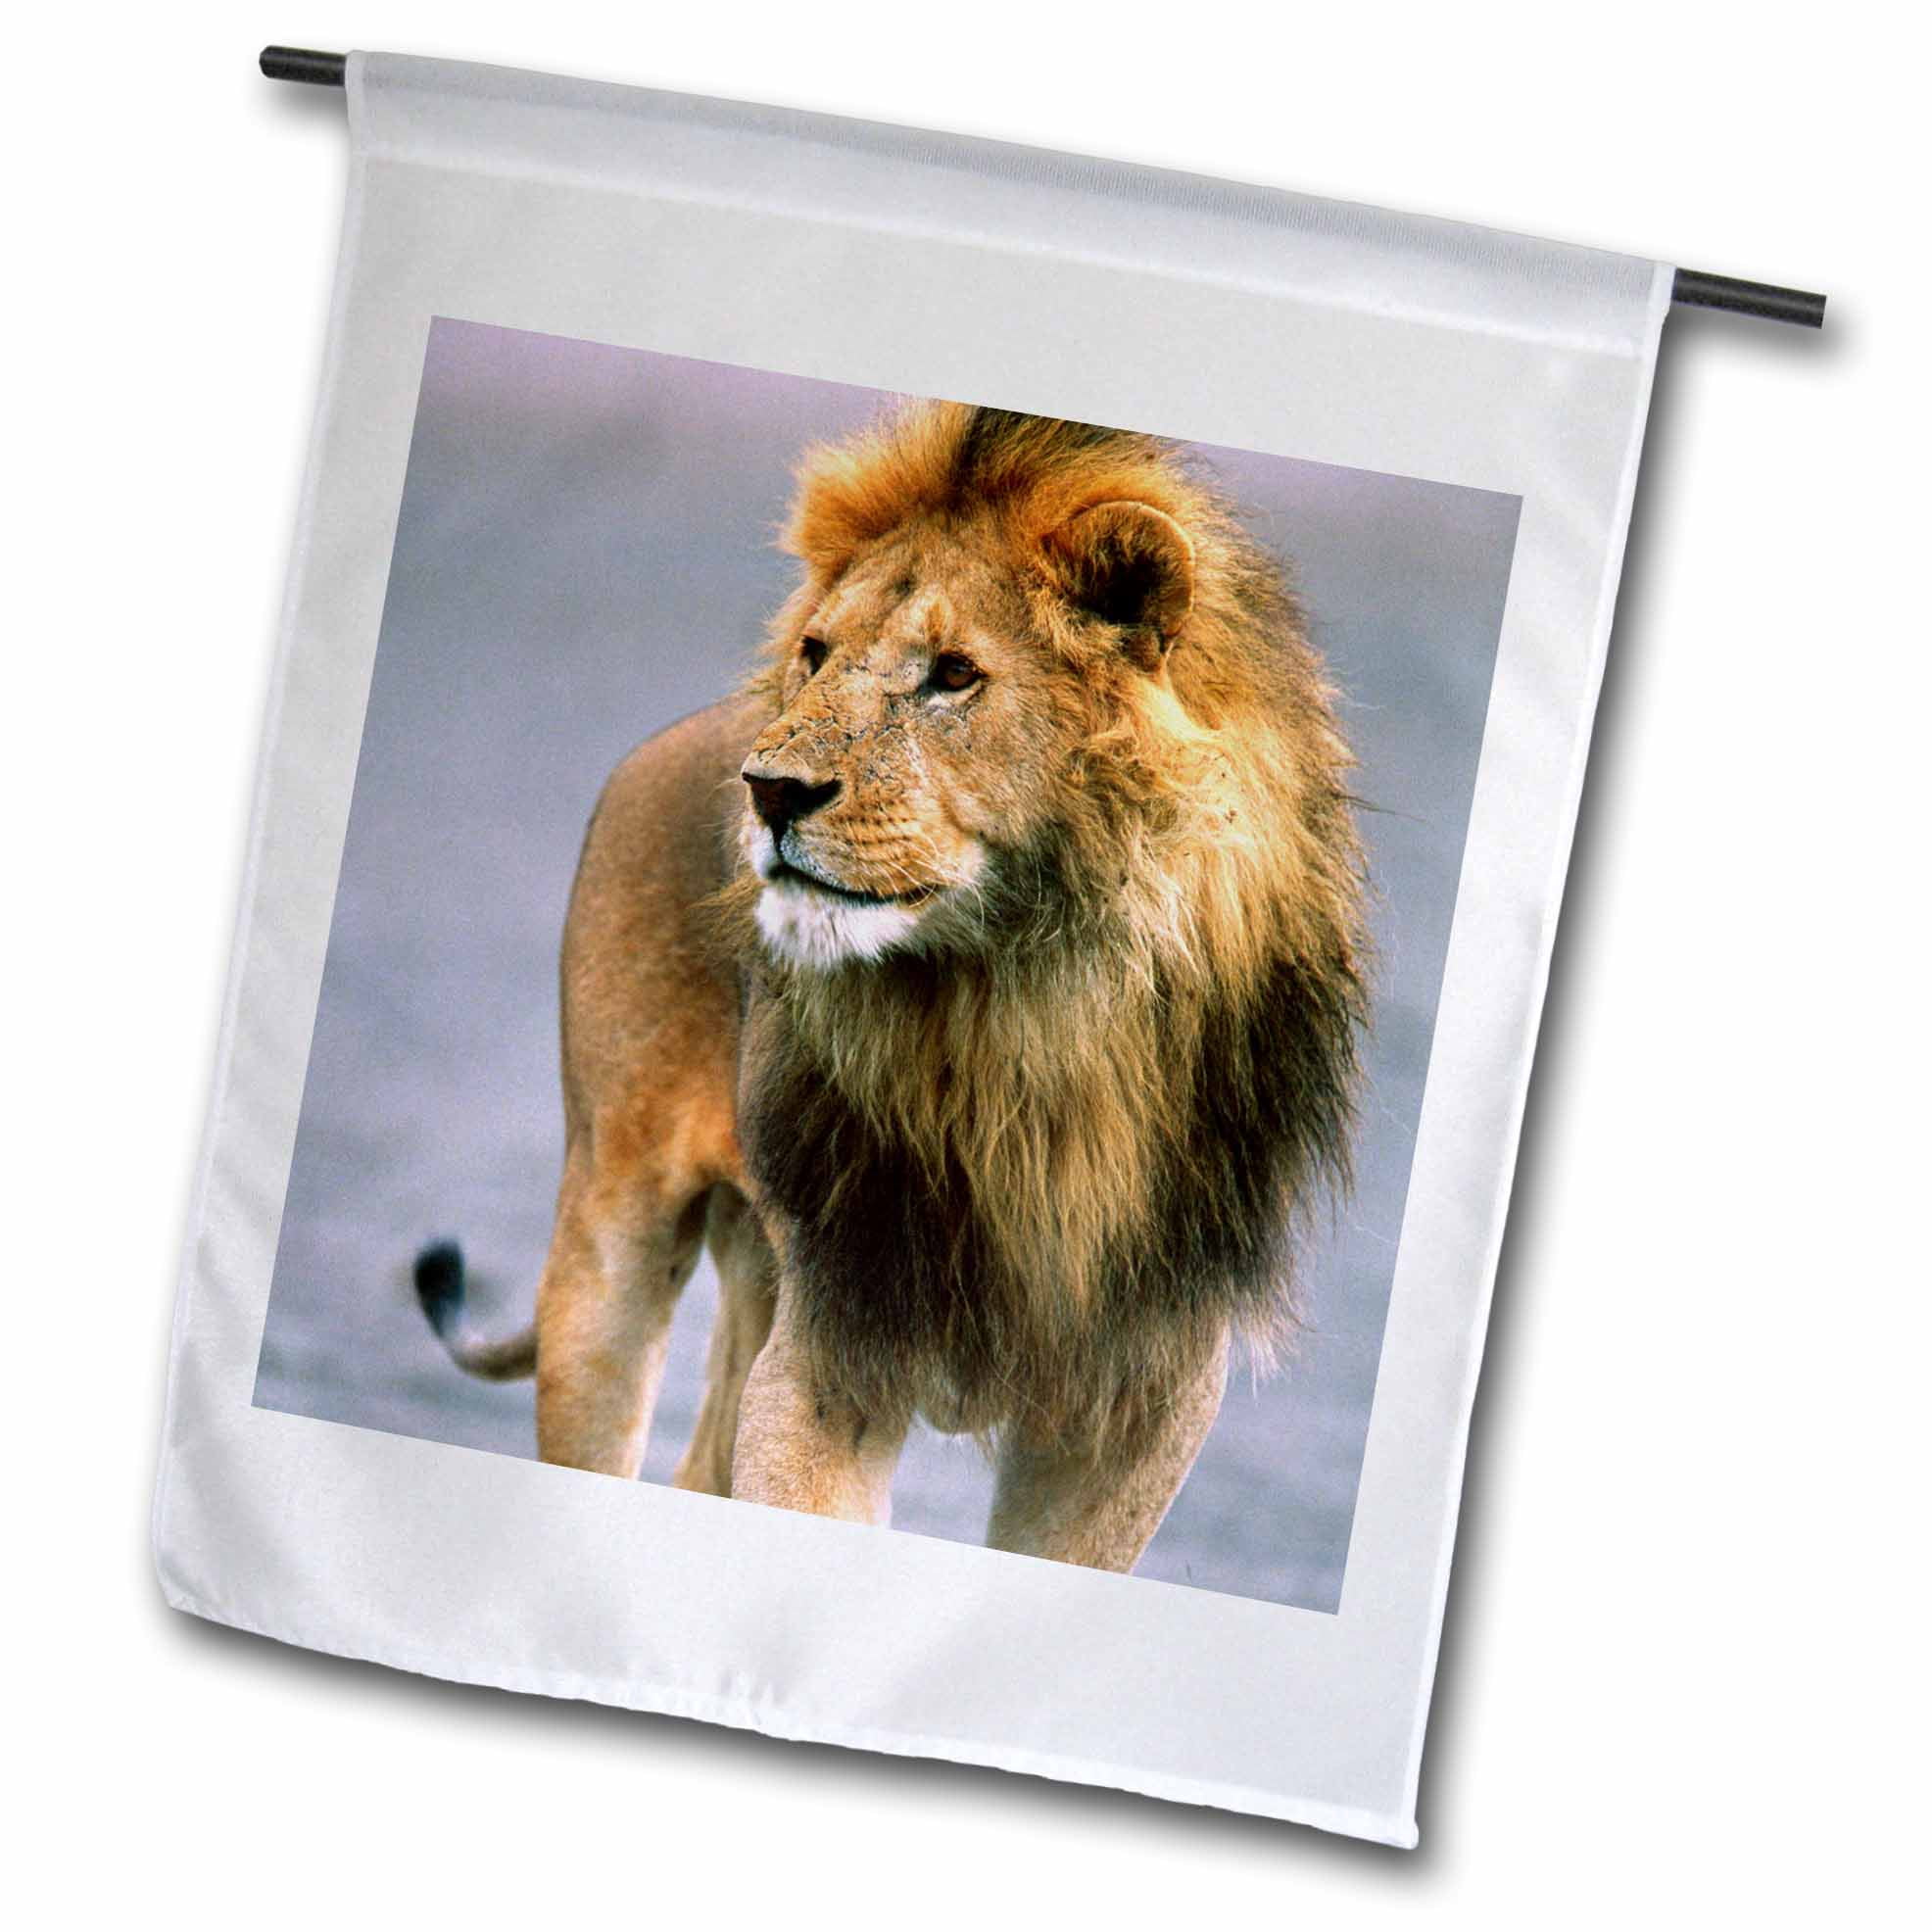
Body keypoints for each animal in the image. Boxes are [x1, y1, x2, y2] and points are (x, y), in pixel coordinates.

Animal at [414, 401, 1368, 1573]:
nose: (769, 790)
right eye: (817, 655)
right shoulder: (836, 1340)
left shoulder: (1143, 1397)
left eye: (953, 674)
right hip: (612, 1241)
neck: (1027, 1012)